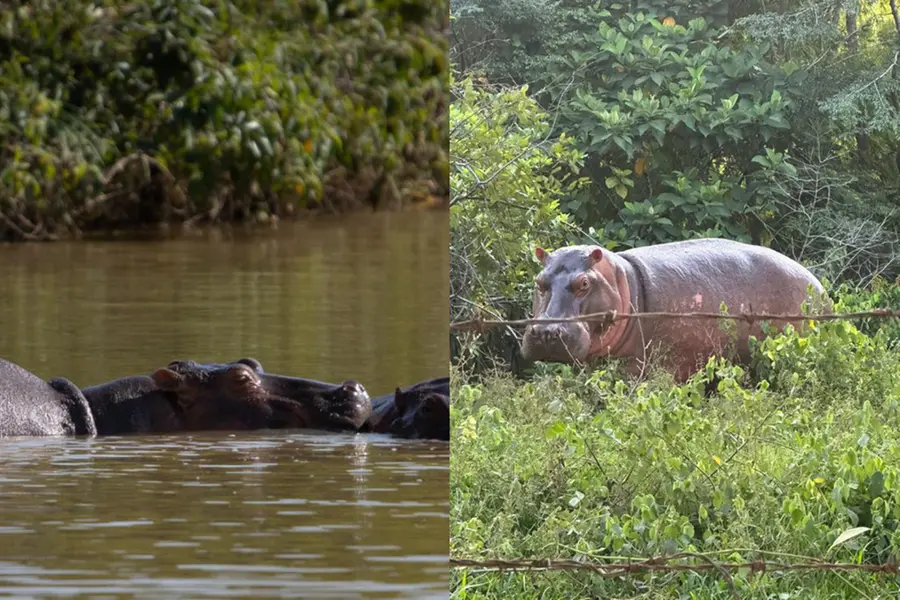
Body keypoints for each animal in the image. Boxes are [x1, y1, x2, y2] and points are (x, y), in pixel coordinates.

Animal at [521, 238, 829, 382]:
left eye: (584, 283)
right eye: (539, 281)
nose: (547, 332)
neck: (621, 278)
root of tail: (820, 286)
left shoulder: (639, 369)